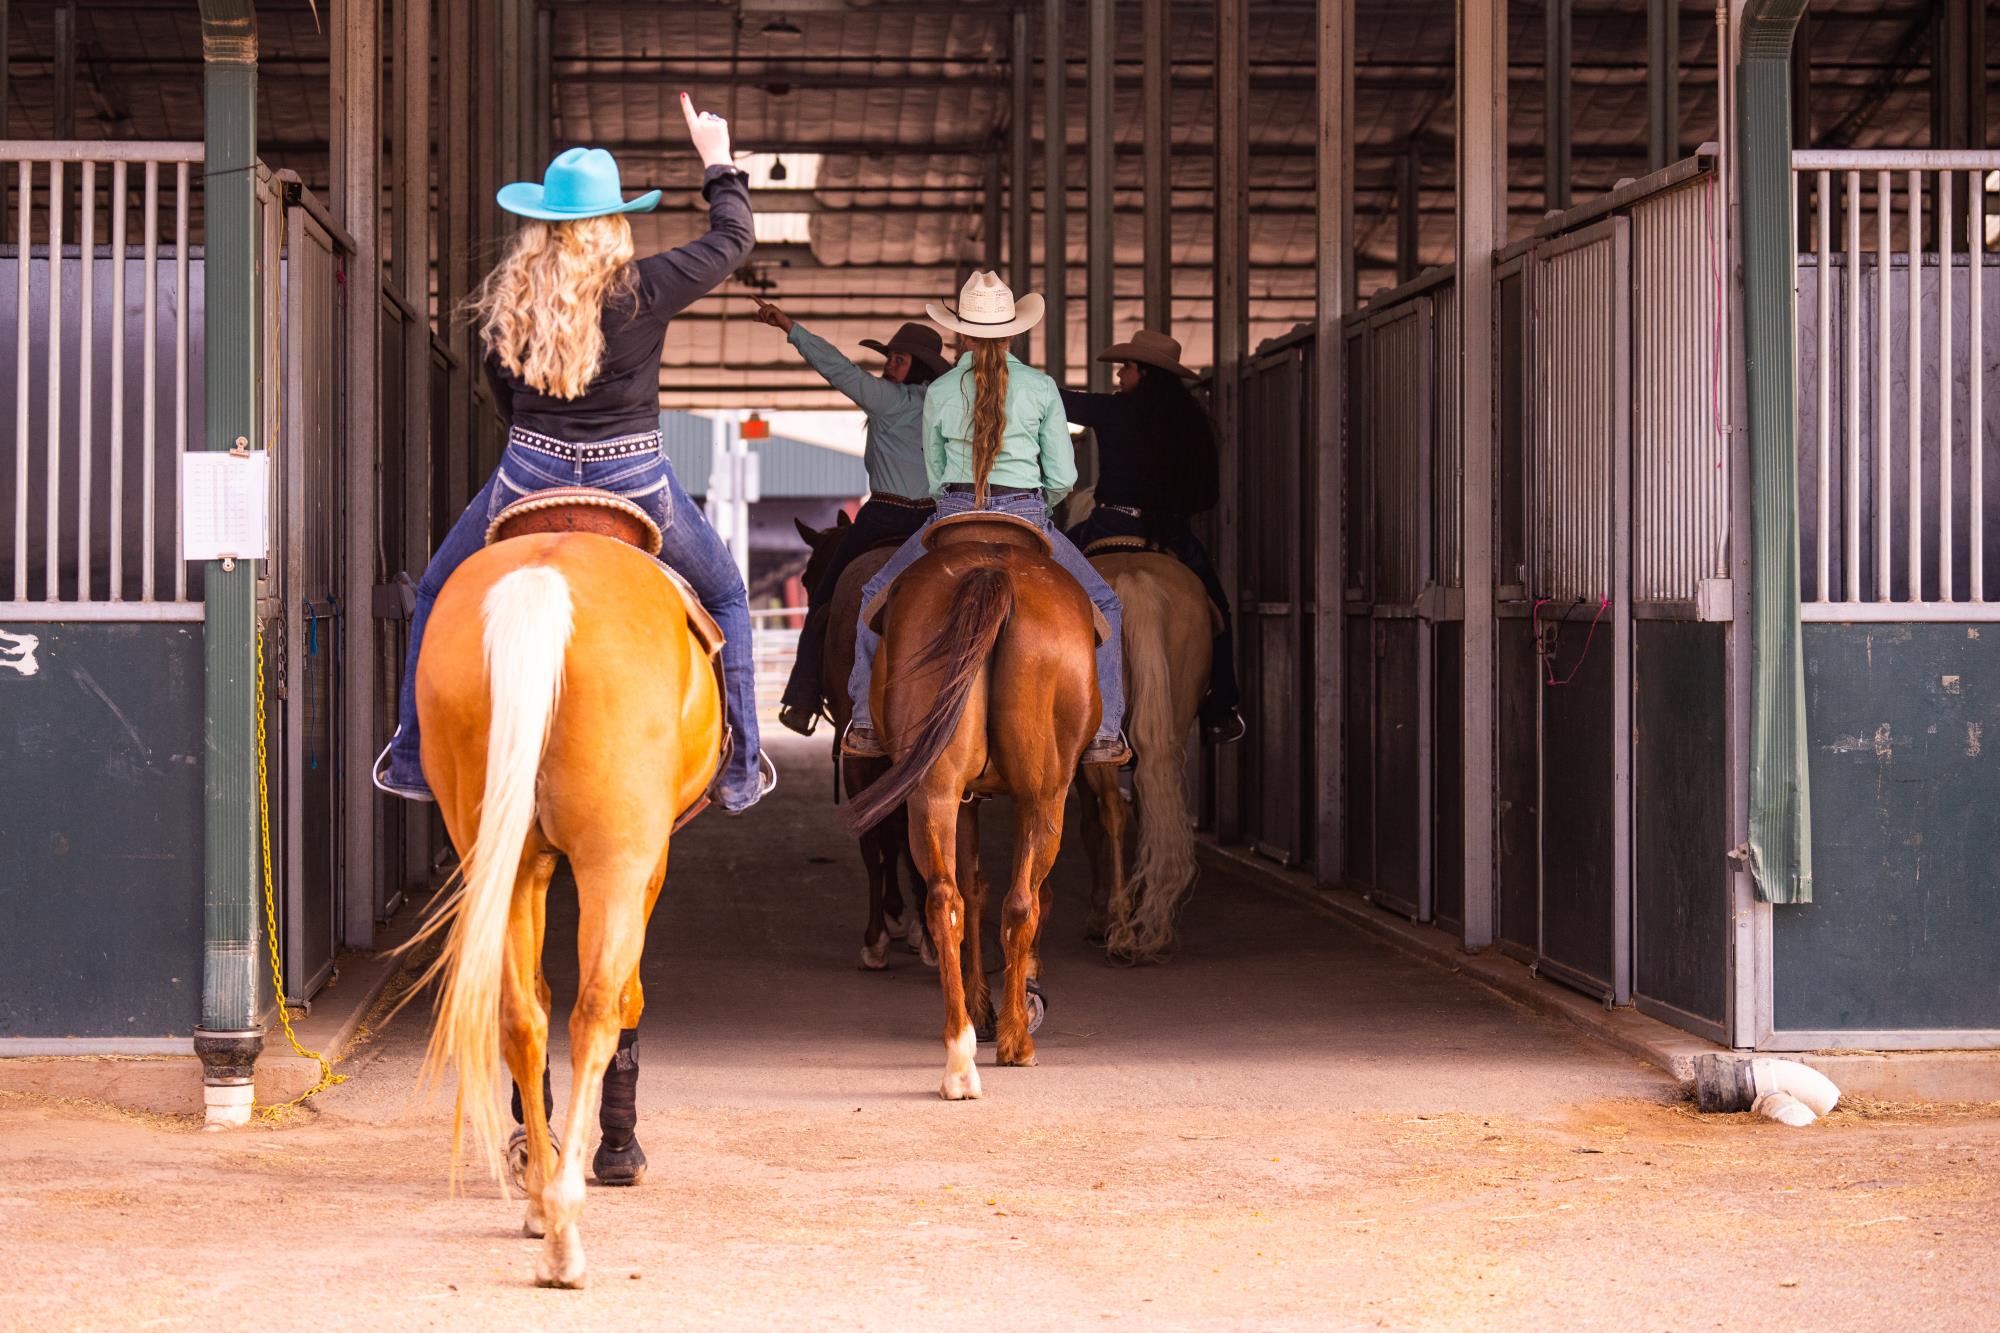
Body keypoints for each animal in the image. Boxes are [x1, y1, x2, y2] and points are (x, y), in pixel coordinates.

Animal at [404, 490, 720, 1288]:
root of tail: (545, 580)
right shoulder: (649, 862)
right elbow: (627, 999)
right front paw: (619, 1151)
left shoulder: (536, 863)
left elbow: (537, 1001)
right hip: (616, 859)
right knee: (597, 1007)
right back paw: (566, 1232)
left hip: (505, 854)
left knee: (521, 1015)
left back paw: (542, 1198)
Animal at [836, 508, 1104, 1088]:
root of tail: (991, 571)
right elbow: (1012, 895)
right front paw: (1012, 1006)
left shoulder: (965, 800)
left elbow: (973, 888)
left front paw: (983, 1011)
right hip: (1044, 795)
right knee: (1023, 899)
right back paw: (1016, 1041)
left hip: (933, 790)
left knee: (945, 897)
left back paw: (959, 1055)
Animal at [1072, 544, 1208, 960]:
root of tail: (1135, 580)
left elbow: (1090, 824)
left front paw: (1097, 916)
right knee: (1152, 806)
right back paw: (1150, 921)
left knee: (1114, 811)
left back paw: (1120, 928)